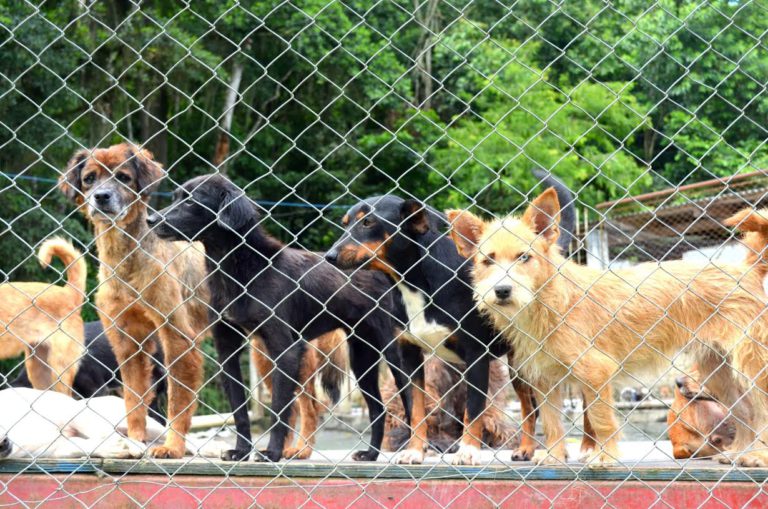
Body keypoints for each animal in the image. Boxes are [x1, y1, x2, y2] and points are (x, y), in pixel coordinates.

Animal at [59, 142, 210, 456]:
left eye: (124, 177)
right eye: (89, 178)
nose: (101, 197)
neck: (127, 262)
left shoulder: (177, 336)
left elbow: (178, 401)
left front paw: (172, 446)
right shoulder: (128, 339)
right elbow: (134, 399)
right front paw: (136, 438)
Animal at [148, 174, 414, 460]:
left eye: (191, 201)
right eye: (175, 197)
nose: (150, 220)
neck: (244, 270)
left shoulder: (285, 349)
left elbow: (279, 409)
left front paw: (272, 452)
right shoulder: (227, 347)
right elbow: (239, 409)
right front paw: (241, 450)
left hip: (392, 351)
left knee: (410, 400)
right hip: (362, 357)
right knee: (378, 409)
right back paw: (370, 454)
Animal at [448, 190, 768, 464]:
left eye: (524, 257)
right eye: (487, 260)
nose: (502, 290)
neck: (550, 301)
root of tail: (746, 271)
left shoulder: (596, 372)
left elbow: (600, 420)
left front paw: (604, 456)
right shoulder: (544, 381)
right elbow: (552, 423)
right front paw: (553, 456)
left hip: (751, 367)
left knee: (759, 409)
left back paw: (756, 457)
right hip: (718, 374)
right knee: (745, 412)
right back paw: (738, 452)